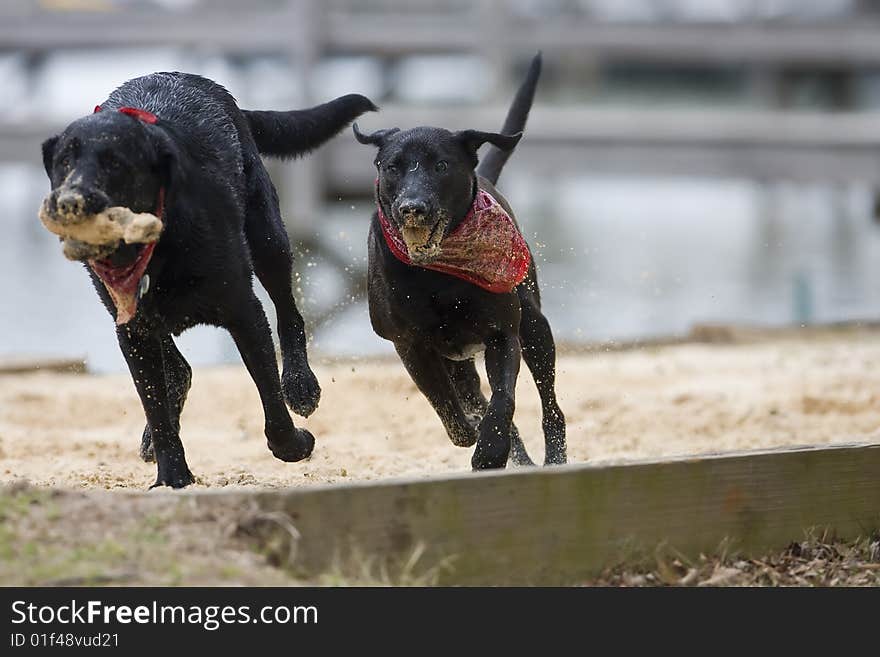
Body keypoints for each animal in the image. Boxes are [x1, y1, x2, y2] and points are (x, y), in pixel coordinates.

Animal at [41, 74, 374, 490]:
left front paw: (295, 444)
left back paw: (301, 384)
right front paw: (172, 477)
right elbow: (156, 407)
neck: (158, 247)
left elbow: (271, 401)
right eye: (64, 161)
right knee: (178, 371)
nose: (71, 201)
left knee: (289, 313)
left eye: (115, 162)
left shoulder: (245, 313)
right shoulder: (133, 332)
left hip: (268, 237)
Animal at [350, 53, 564, 468]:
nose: (412, 207)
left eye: (441, 166)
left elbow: (503, 399)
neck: (436, 273)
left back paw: (553, 458)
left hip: (534, 326)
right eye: (392, 167)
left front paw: (491, 450)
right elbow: (445, 402)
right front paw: (474, 436)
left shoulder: (502, 333)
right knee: (468, 394)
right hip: (459, 358)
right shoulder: (411, 344)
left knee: (550, 404)